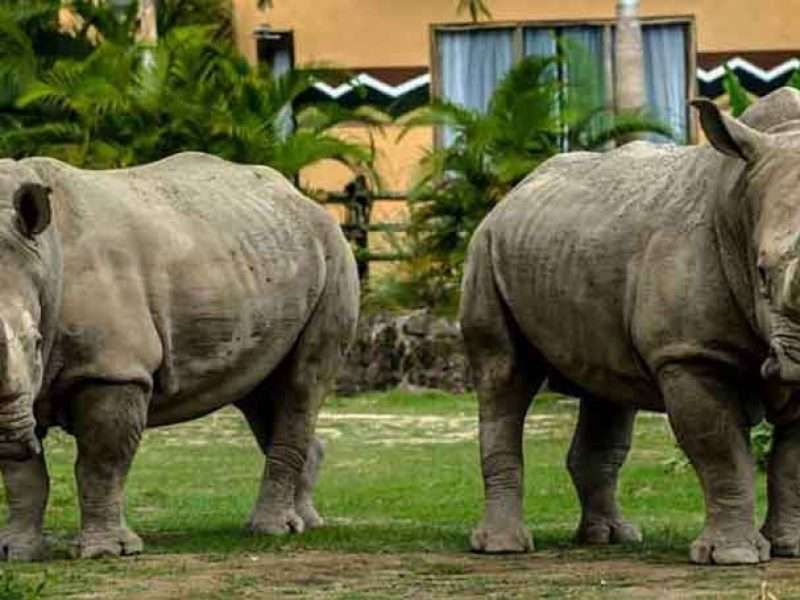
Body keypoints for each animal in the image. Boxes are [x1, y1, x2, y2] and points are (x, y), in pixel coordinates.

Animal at [0, 152, 359, 560]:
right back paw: (306, 523)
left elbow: (101, 462)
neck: (44, 257)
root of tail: (303, 199)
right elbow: (23, 476)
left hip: (335, 255)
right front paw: (16, 552)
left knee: (302, 384)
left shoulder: (115, 368)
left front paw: (107, 552)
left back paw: (270, 531)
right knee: (262, 395)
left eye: (35, 342)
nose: (8, 434)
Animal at [460, 88, 800, 565]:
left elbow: (791, 465)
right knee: (503, 377)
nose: (795, 362)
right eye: (762, 272)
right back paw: (502, 547)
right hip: (485, 250)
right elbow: (722, 452)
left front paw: (790, 548)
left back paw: (610, 537)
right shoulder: (688, 353)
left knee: (606, 391)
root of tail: (514, 191)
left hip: (573, 245)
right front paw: (732, 557)